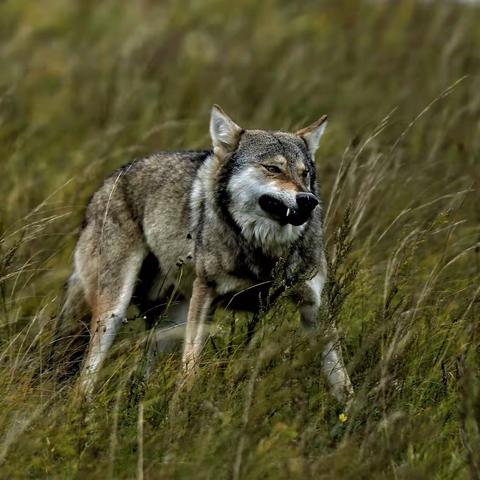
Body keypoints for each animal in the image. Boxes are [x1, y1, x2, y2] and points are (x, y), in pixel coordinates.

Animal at [57, 104, 356, 402]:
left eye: (304, 173)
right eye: (273, 168)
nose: (308, 200)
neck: (265, 251)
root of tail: (107, 183)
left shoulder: (314, 305)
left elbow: (341, 377)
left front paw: (350, 410)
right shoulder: (206, 294)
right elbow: (190, 369)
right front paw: (184, 407)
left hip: (170, 325)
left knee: (138, 375)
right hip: (114, 312)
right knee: (85, 376)